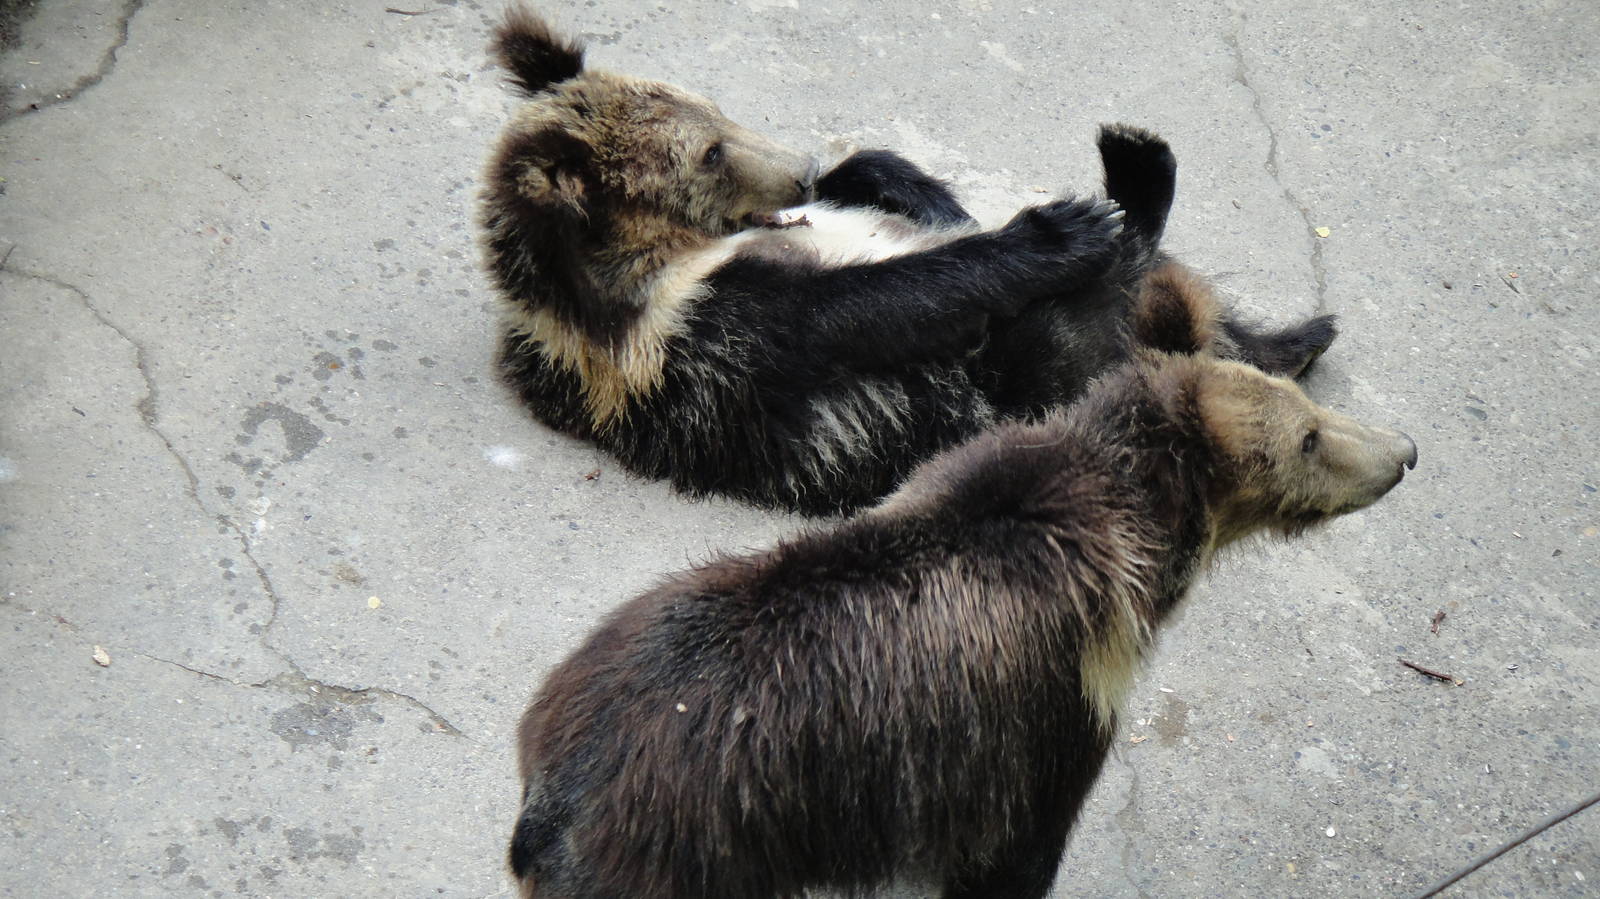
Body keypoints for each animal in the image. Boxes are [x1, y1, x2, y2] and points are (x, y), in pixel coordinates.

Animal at [479, 8, 1337, 515]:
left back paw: (1295, 328)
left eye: (715, 113)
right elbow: (868, 305)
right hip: (1017, 386)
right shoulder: (701, 338)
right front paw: (1056, 228)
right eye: (709, 153)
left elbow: (879, 177)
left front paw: (928, 196)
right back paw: (1133, 183)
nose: (798, 170)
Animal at [505, 290, 1417, 899]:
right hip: (688, 854)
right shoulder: (1050, 715)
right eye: (1308, 437)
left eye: (1307, 412)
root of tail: (551, 795)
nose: (1403, 450)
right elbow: (1012, 862)